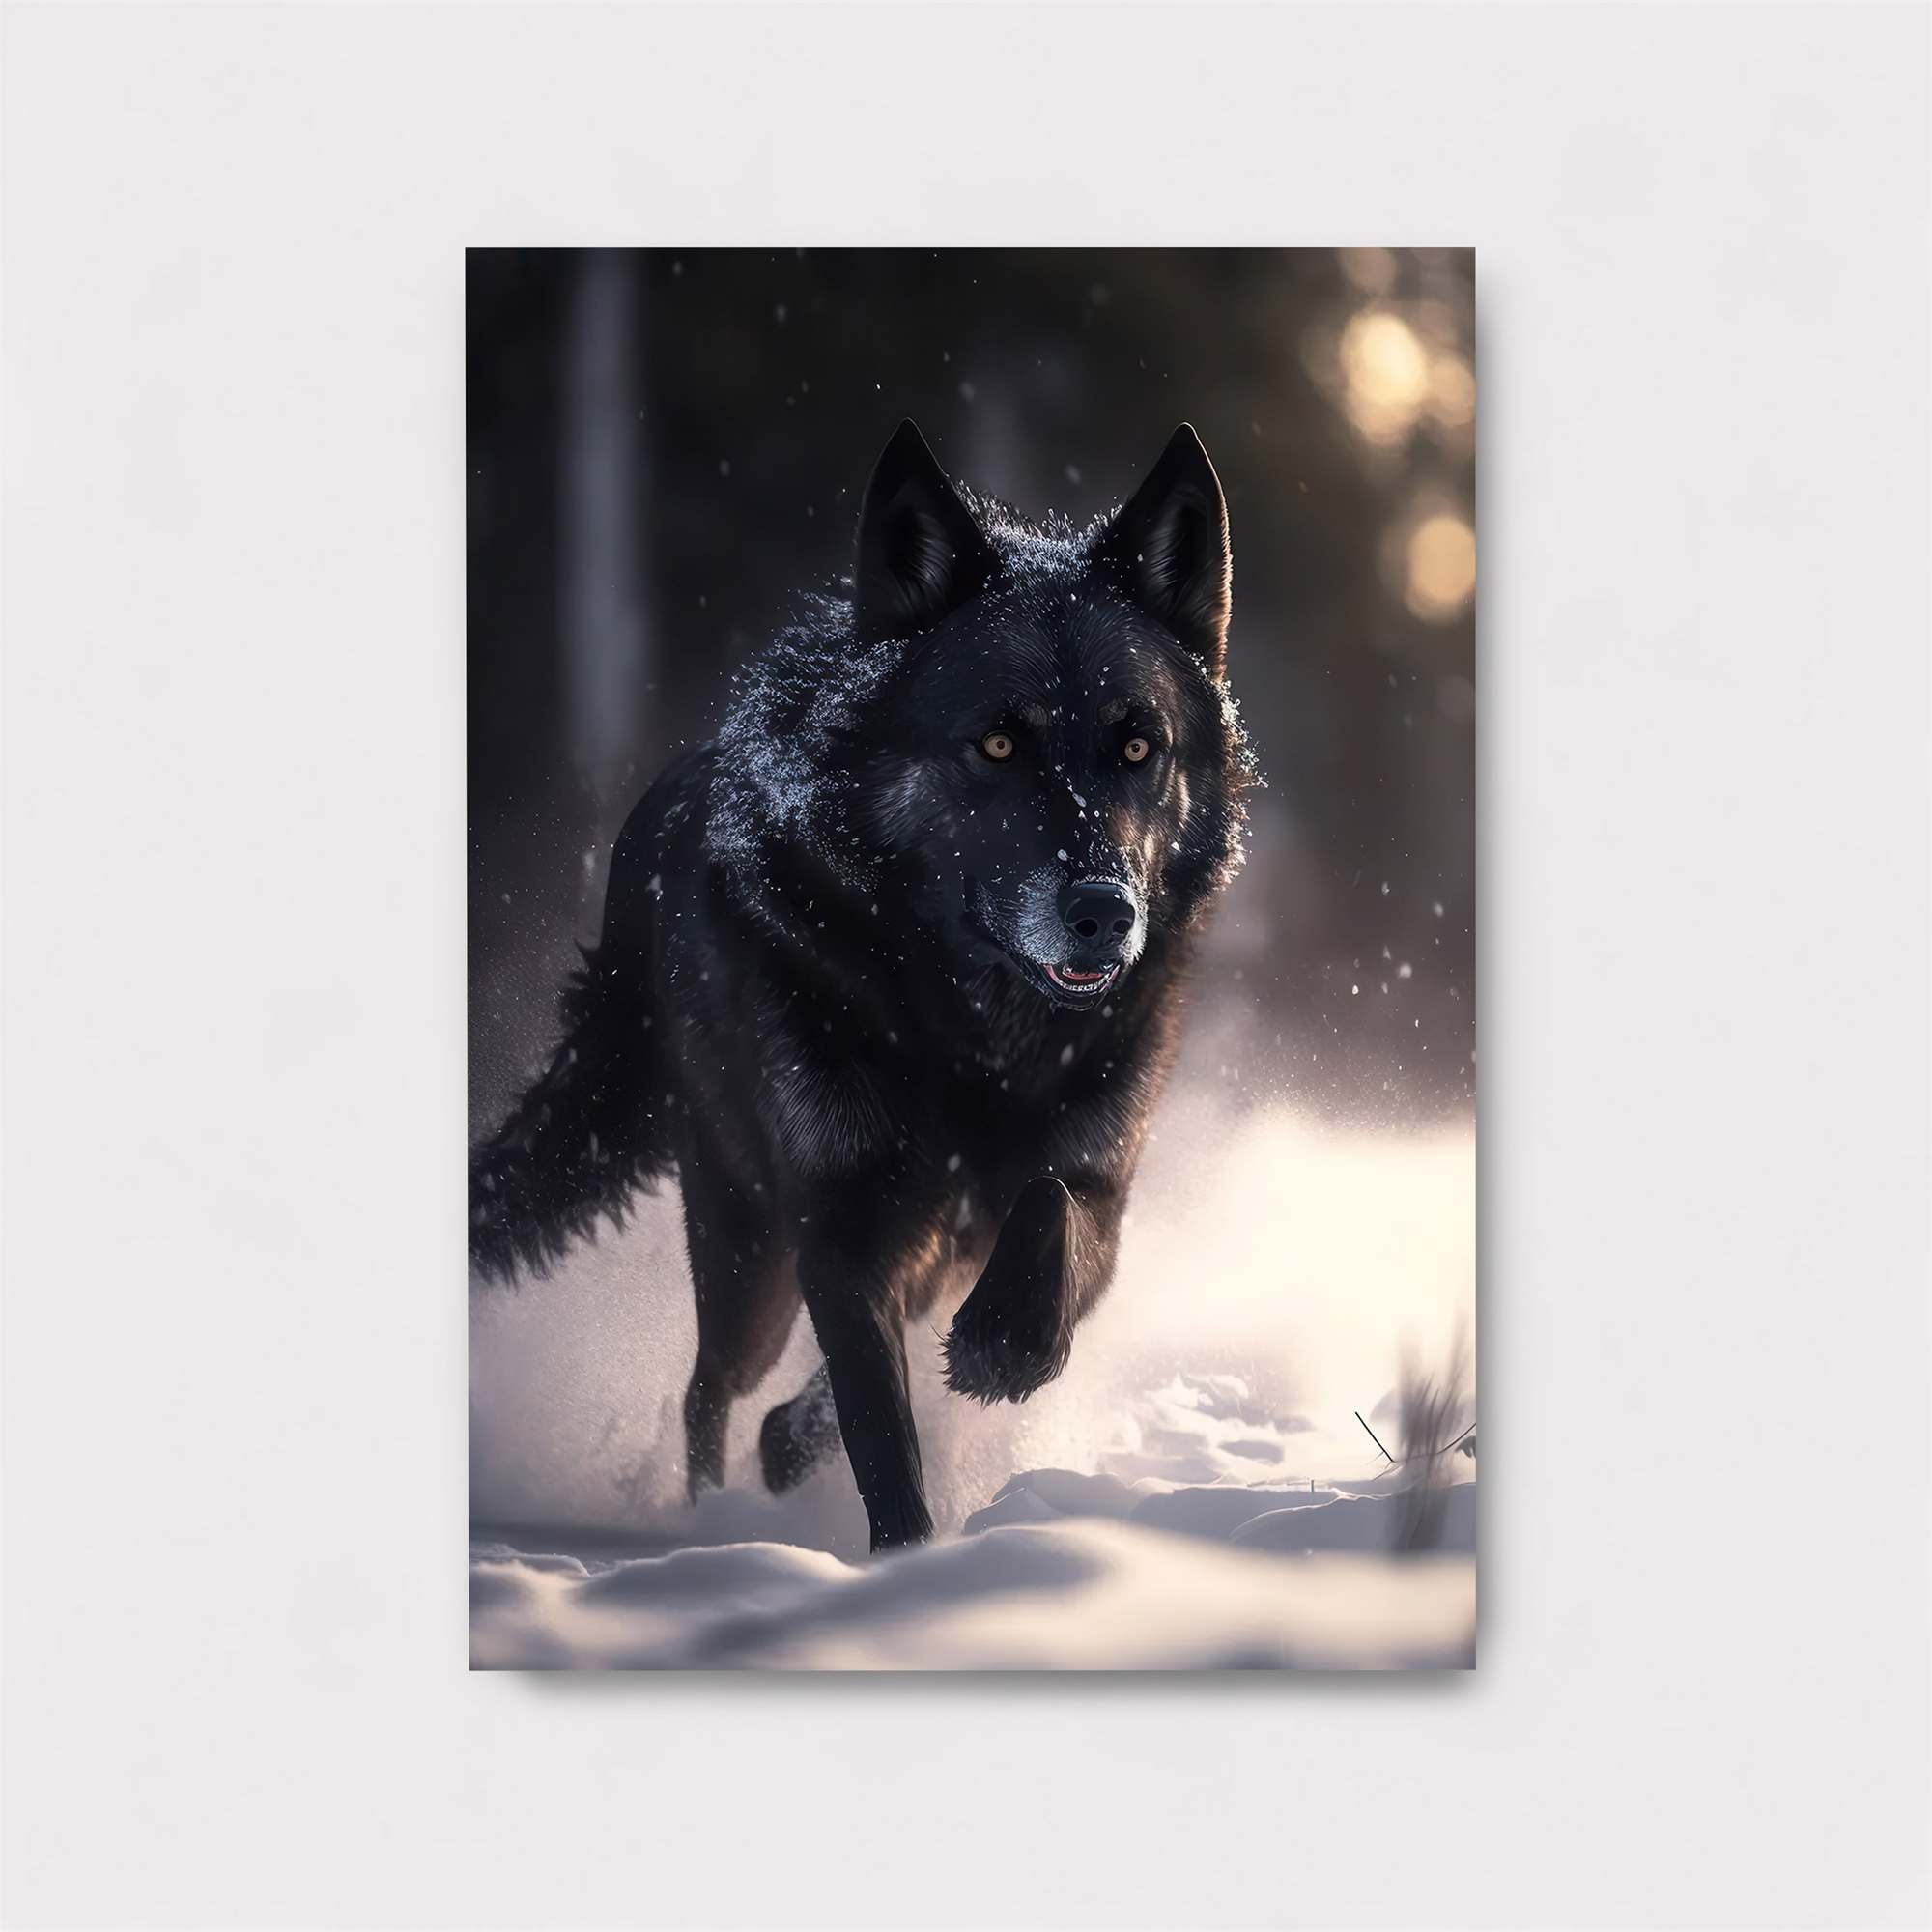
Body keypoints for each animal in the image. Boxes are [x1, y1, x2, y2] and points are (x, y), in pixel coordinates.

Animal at [471, 420, 1254, 1551]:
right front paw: (905, 1561)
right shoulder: (839, 1224)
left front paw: (1005, 1345)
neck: (972, 1034)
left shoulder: (1093, 1191)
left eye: (1138, 744)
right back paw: (711, 1513)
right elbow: (881, 1426)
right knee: (710, 1389)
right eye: (997, 741)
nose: (1105, 911)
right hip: (745, 1248)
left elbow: (1050, 1211)